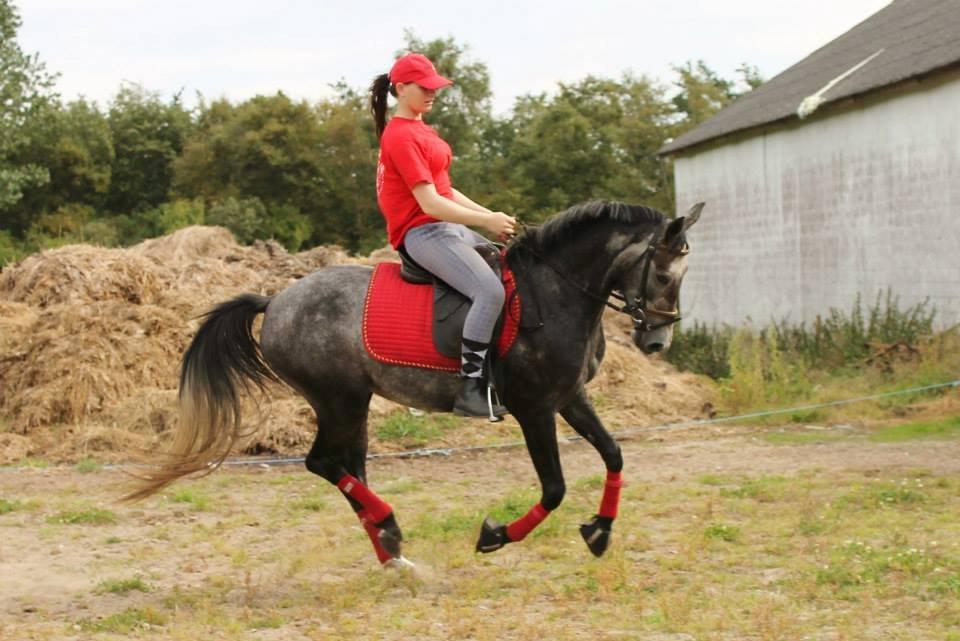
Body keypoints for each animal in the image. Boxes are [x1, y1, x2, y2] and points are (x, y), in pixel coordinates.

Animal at [127, 199, 700, 564]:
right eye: (663, 275)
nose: (657, 342)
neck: (555, 290)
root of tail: (277, 300)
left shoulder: (569, 398)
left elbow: (614, 455)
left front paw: (600, 531)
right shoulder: (535, 408)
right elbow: (555, 488)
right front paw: (495, 536)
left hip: (351, 404)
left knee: (348, 467)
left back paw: (390, 548)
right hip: (338, 399)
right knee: (322, 463)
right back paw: (390, 526)